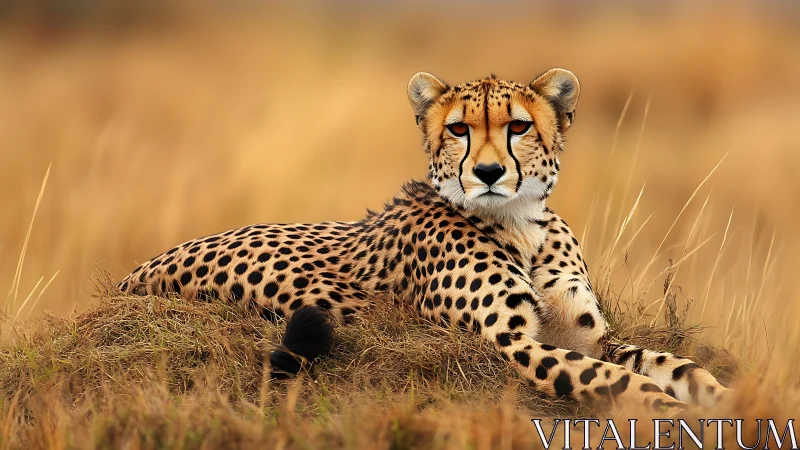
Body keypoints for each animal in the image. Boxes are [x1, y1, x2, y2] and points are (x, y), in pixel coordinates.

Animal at [117, 68, 730, 413]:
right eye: (459, 128)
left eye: (519, 126)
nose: (487, 172)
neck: (522, 222)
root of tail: (129, 276)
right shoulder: (512, 343)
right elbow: (618, 380)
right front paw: (675, 415)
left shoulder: (590, 336)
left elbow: (675, 365)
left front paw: (727, 399)